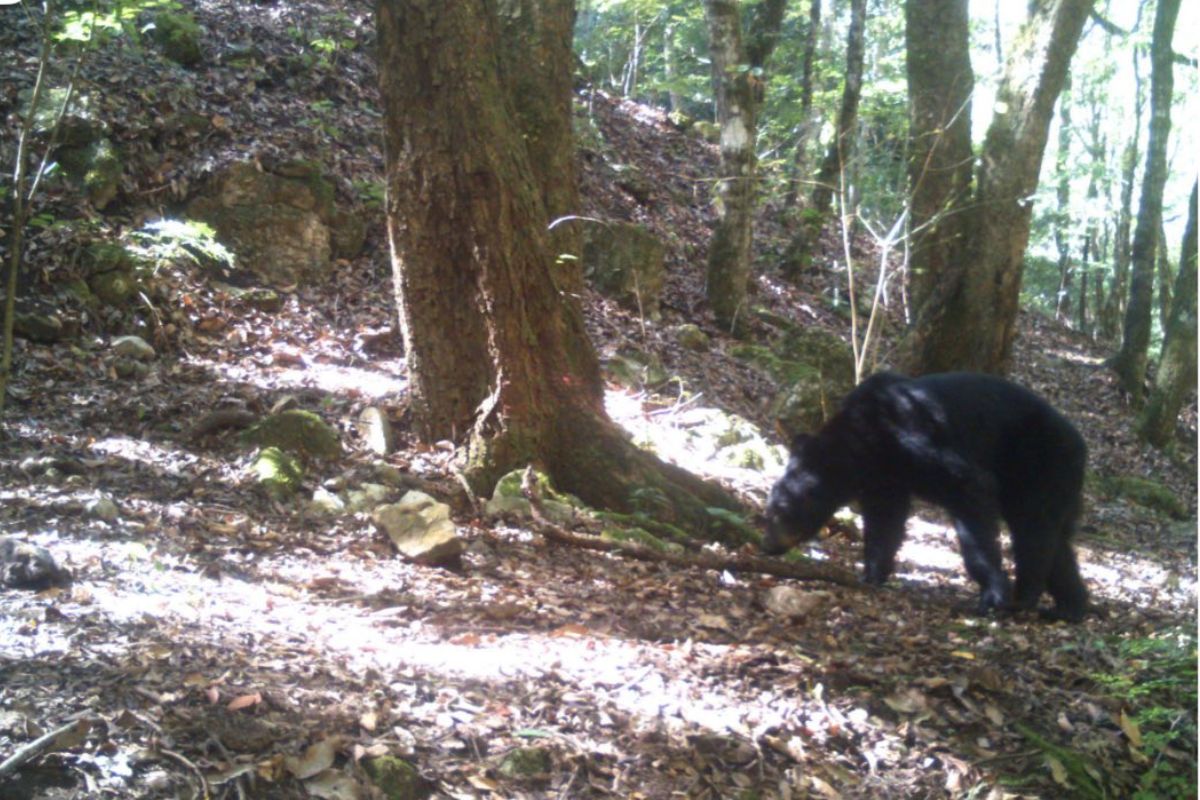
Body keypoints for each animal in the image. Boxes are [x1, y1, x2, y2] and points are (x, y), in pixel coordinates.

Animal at [762, 371, 1089, 622]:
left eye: (782, 511)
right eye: (769, 511)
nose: (767, 545)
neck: (866, 440)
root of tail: (1081, 443)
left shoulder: (917, 440)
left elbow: (971, 486)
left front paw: (992, 593)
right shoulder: (884, 475)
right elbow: (885, 519)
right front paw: (872, 573)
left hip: (1041, 460)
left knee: (1033, 527)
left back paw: (1025, 597)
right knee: (1058, 539)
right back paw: (1070, 607)